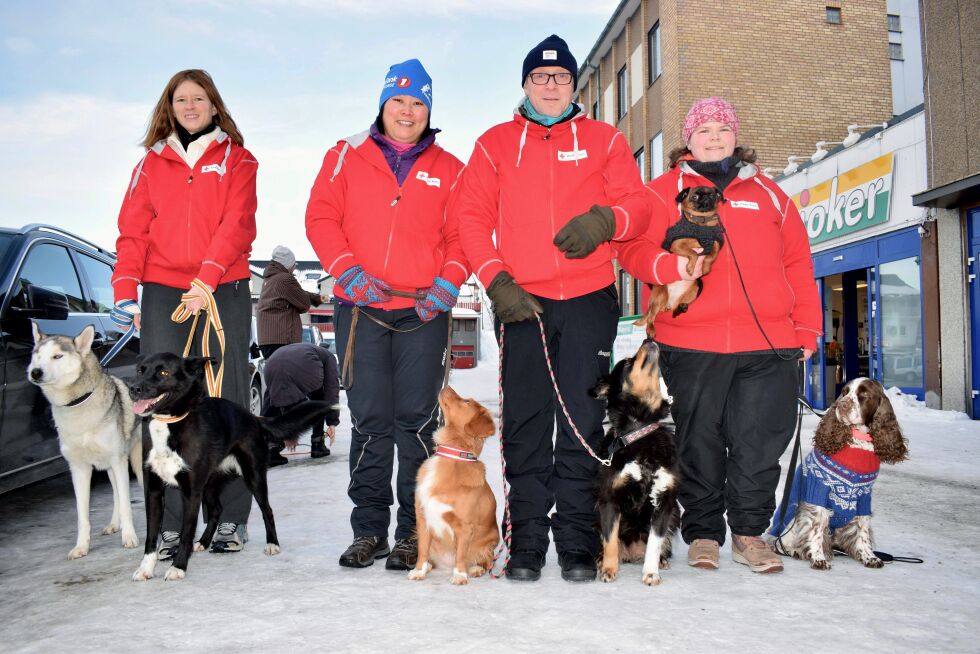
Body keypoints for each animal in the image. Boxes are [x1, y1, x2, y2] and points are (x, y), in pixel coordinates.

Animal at [29, 322, 143, 560]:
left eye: (57, 356)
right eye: (37, 356)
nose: (35, 372)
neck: (78, 404)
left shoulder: (119, 461)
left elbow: (127, 506)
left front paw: (129, 537)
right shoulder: (79, 469)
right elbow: (83, 516)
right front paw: (81, 546)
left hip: (136, 464)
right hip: (110, 467)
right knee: (117, 494)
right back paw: (114, 524)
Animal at [130, 354, 336, 584]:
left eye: (163, 372)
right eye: (140, 370)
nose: (133, 388)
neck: (171, 421)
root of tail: (254, 418)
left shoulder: (190, 493)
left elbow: (186, 534)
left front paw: (178, 567)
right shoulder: (153, 491)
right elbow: (151, 536)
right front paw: (146, 569)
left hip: (253, 477)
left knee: (267, 510)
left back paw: (272, 544)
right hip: (209, 485)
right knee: (216, 510)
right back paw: (203, 541)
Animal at [588, 340, 680, 588]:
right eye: (628, 363)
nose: (648, 340)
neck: (640, 431)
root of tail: (631, 552)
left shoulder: (663, 500)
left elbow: (654, 543)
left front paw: (651, 573)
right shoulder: (609, 499)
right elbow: (610, 540)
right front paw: (609, 569)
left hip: (675, 513)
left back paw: (662, 560)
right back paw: (600, 559)